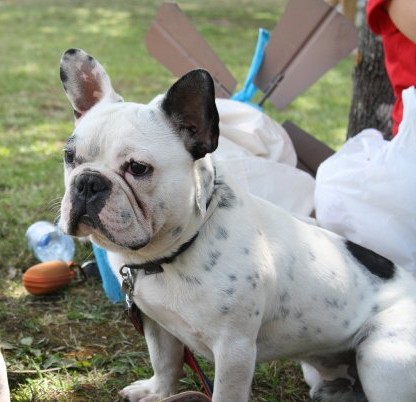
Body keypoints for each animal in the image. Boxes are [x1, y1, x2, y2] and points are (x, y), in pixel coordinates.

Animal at [58, 48, 416, 400]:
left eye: (138, 168)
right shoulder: (156, 324)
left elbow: (223, 392)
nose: (88, 182)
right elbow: (165, 362)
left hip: (379, 357)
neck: (170, 253)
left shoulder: (234, 350)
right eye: (69, 156)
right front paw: (157, 392)